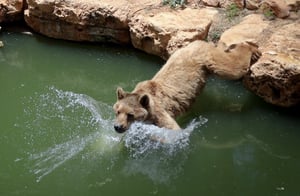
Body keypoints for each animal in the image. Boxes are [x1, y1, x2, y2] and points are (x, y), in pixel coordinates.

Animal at [112, 40, 260, 133]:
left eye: (130, 114)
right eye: (117, 111)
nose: (117, 127)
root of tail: (199, 42)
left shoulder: (160, 113)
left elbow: (173, 129)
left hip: (209, 60)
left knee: (232, 68)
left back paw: (252, 49)